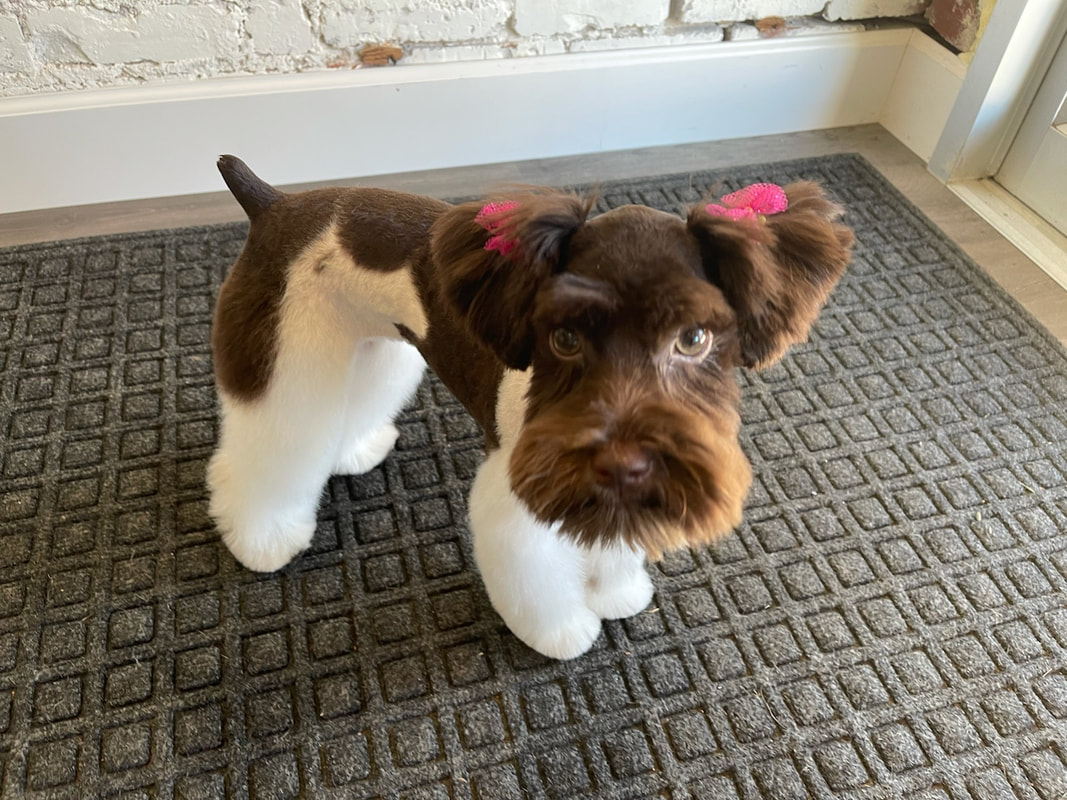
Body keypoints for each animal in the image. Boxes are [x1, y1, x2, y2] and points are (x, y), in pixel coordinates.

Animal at [208, 154, 853, 657]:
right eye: (564, 338)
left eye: (693, 338)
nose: (624, 461)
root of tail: (273, 205)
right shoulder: (521, 503)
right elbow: (535, 577)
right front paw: (564, 629)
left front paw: (615, 591)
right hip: (284, 353)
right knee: (267, 449)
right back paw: (262, 538)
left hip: (371, 344)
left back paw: (355, 448)